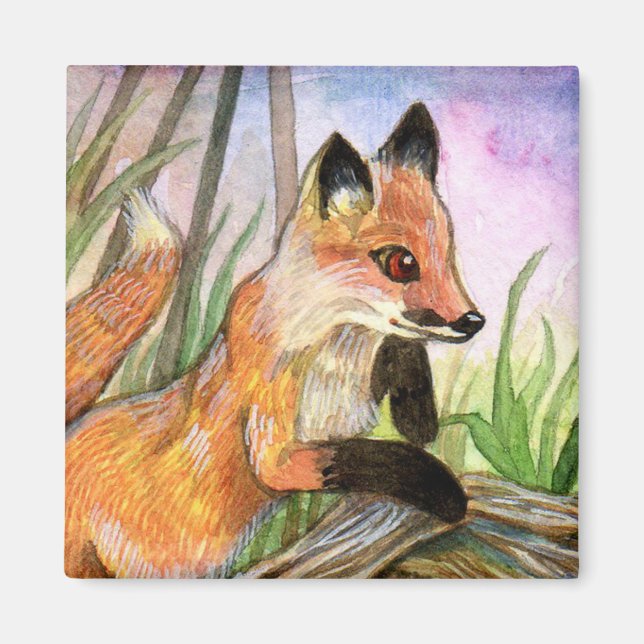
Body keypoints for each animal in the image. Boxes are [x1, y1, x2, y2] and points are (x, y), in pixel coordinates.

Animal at [65, 102, 485, 578]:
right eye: (402, 263)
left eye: (447, 254)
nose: (474, 320)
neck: (334, 347)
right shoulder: (274, 443)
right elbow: (360, 458)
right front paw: (444, 490)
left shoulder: (349, 405)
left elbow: (406, 377)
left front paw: (416, 409)